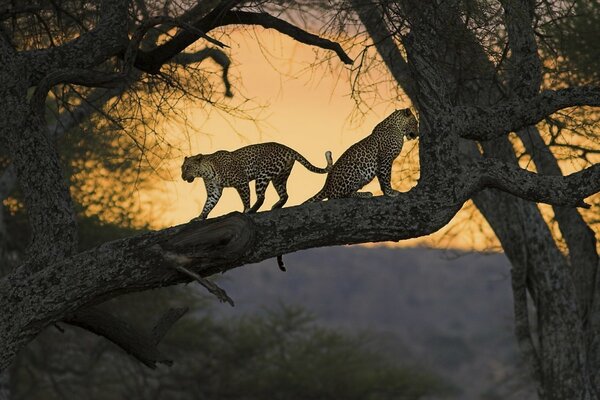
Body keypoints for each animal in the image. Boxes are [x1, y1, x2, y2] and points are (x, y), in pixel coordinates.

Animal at [183, 142, 332, 220]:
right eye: (182, 168)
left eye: (187, 167)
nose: (182, 177)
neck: (206, 172)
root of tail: (285, 147)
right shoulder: (214, 190)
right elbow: (208, 204)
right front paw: (200, 217)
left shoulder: (241, 182)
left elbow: (245, 198)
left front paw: (245, 210)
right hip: (279, 177)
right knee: (285, 194)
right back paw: (276, 206)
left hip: (263, 175)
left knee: (261, 196)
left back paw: (252, 210)